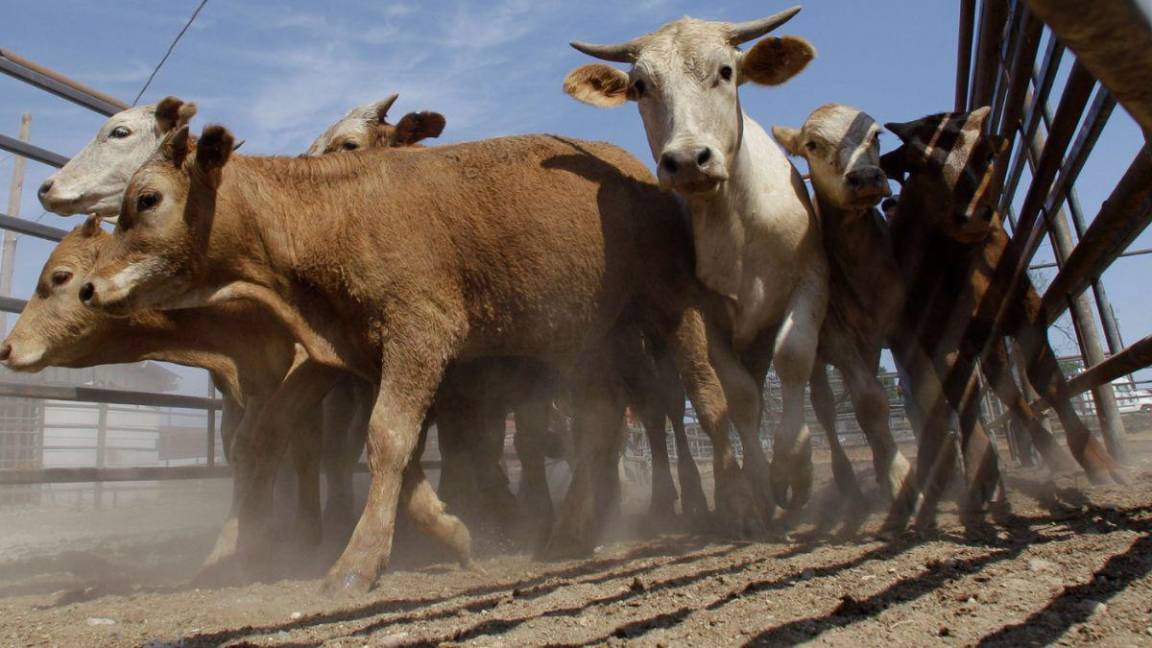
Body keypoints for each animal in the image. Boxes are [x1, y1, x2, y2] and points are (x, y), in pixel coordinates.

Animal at [81, 126, 764, 590]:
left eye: (147, 199)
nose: (89, 287)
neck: (336, 214)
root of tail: (637, 171)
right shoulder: (371, 352)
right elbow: (399, 452)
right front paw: (450, 532)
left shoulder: (422, 333)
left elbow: (388, 437)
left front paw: (355, 564)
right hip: (592, 336)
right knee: (601, 419)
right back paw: (571, 531)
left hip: (673, 305)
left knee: (706, 397)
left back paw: (735, 506)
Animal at [564, 6, 829, 509]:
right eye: (641, 86)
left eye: (725, 71)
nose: (687, 160)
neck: (736, 228)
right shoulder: (698, 312)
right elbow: (738, 397)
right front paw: (759, 483)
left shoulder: (810, 279)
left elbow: (792, 358)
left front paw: (794, 467)